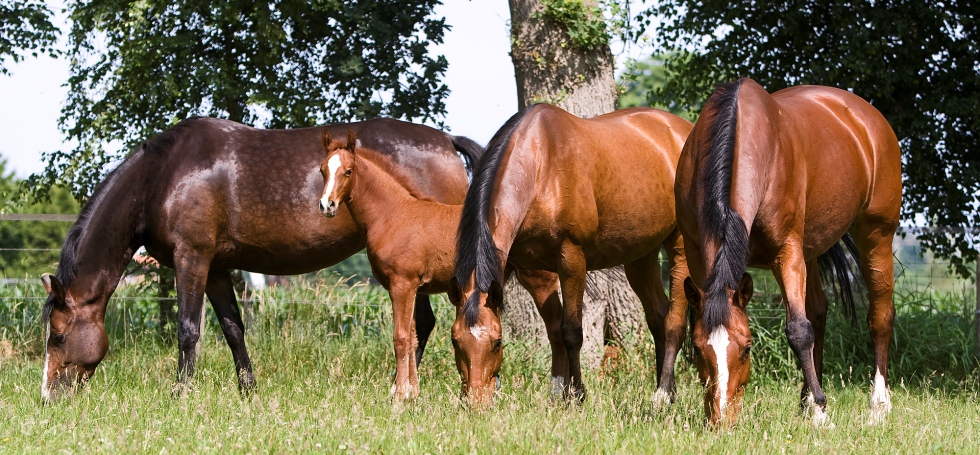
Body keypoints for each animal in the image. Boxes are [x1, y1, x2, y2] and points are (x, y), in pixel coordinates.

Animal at [40, 117, 484, 402]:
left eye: (57, 336)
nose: (47, 397)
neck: (162, 176)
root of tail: (446, 141)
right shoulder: (216, 268)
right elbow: (233, 329)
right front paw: (248, 393)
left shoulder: (192, 258)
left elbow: (188, 330)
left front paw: (179, 396)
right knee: (422, 324)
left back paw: (404, 388)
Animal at [316, 130, 560, 404]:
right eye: (322, 170)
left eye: (348, 171)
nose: (327, 205)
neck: (393, 214)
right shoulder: (411, 288)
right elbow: (413, 336)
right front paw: (412, 393)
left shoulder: (402, 285)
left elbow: (401, 337)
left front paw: (398, 397)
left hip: (540, 278)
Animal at [448, 104, 692, 406]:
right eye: (455, 341)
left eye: (497, 343)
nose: (475, 402)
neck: (540, 166)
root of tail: (683, 130)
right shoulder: (532, 272)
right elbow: (554, 331)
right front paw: (558, 393)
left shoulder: (571, 260)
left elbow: (571, 331)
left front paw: (577, 393)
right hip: (641, 255)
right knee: (658, 317)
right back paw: (666, 388)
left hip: (679, 245)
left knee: (673, 322)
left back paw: (663, 393)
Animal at [676, 78, 900, 428]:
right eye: (699, 350)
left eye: (747, 348)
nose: (723, 421)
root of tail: (866, 115)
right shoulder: (697, 250)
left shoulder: (787, 251)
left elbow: (798, 329)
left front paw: (821, 413)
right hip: (811, 249)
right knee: (819, 311)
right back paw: (808, 398)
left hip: (876, 234)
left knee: (879, 317)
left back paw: (877, 406)